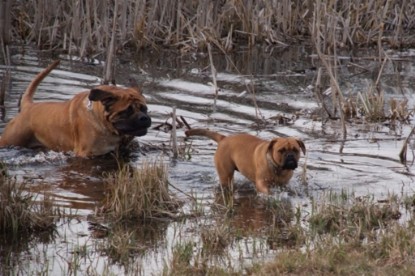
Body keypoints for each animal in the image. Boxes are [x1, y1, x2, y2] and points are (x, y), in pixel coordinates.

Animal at [0, 59, 152, 156]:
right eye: (127, 110)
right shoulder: (86, 153)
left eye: (144, 109)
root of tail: (28, 106)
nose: (144, 118)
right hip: (9, 140)